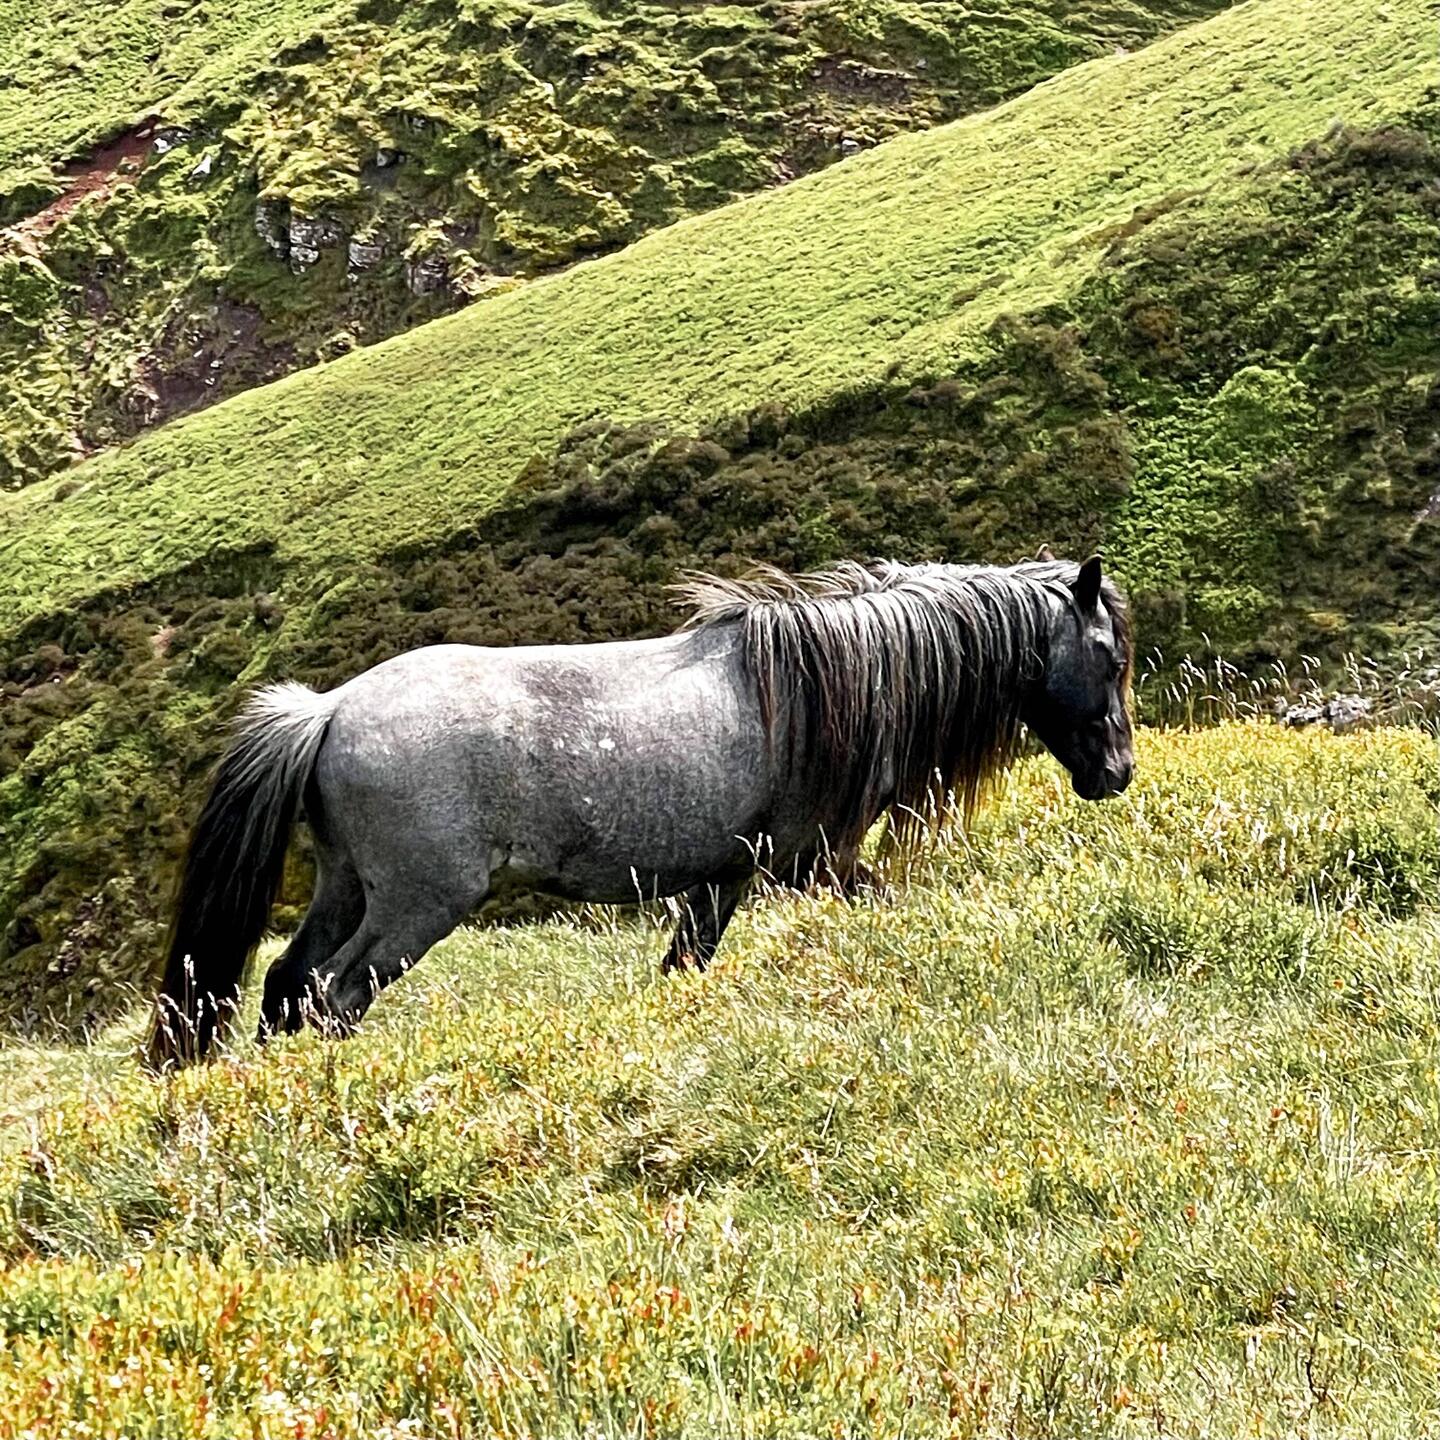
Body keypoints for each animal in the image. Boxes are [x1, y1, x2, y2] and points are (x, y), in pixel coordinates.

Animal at [149, 554, 1134, 1066]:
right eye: (1108, 653)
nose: (1118, 772)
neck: (834, 686)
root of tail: (329, 709)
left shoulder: (724, 877)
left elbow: (684, 966)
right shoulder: (814, 862)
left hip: (347, 887)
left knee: (285, 983)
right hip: (418, 904)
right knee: (332, 992)